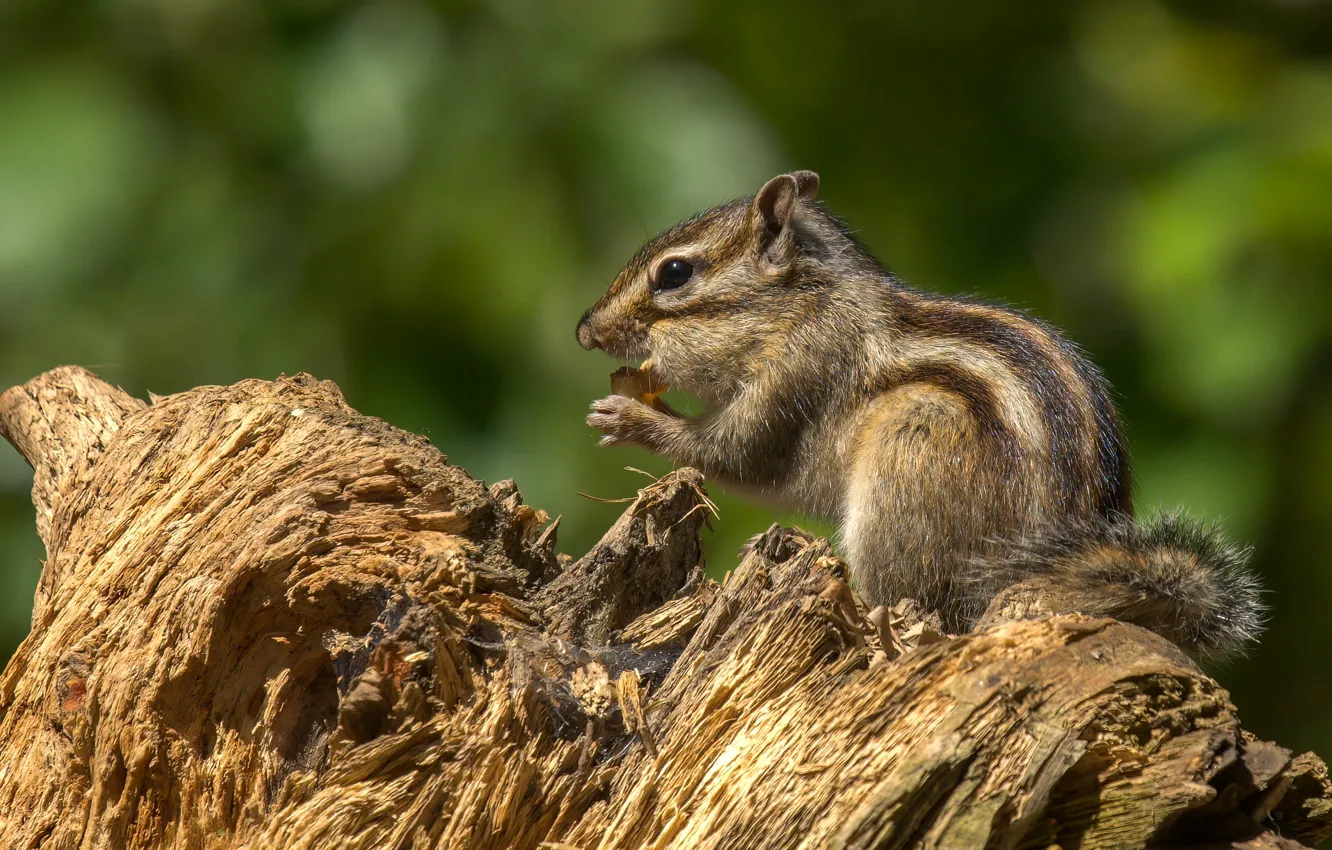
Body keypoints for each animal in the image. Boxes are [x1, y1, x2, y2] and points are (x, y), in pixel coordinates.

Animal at [576, 170, 1264, 660]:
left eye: (674, 273)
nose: (585, 331)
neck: (801, 307)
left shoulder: (800, 373)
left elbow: (735, 455)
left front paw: (625, 417)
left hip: (908, 466)